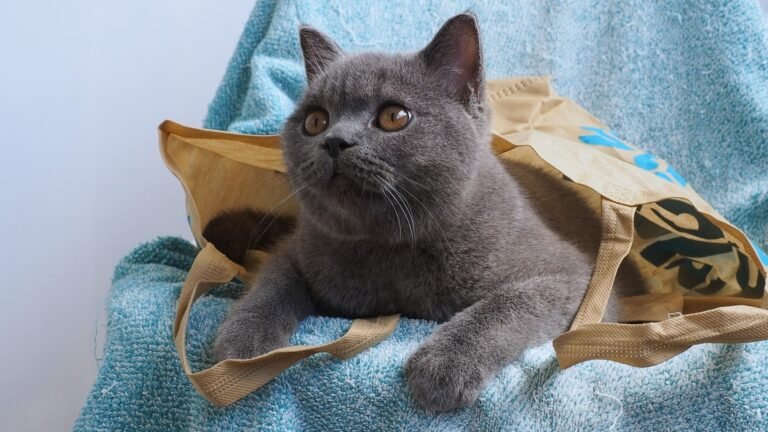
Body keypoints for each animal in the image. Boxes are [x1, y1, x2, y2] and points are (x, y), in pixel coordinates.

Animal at [212, 12, 640, 412]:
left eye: (394, 117)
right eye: (316, 121)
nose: (335, 141)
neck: (390, 249)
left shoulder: (580, 280)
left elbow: (509, 302)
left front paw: (445, 364)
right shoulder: (298, 248)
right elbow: (274, 280)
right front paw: (242, 340)